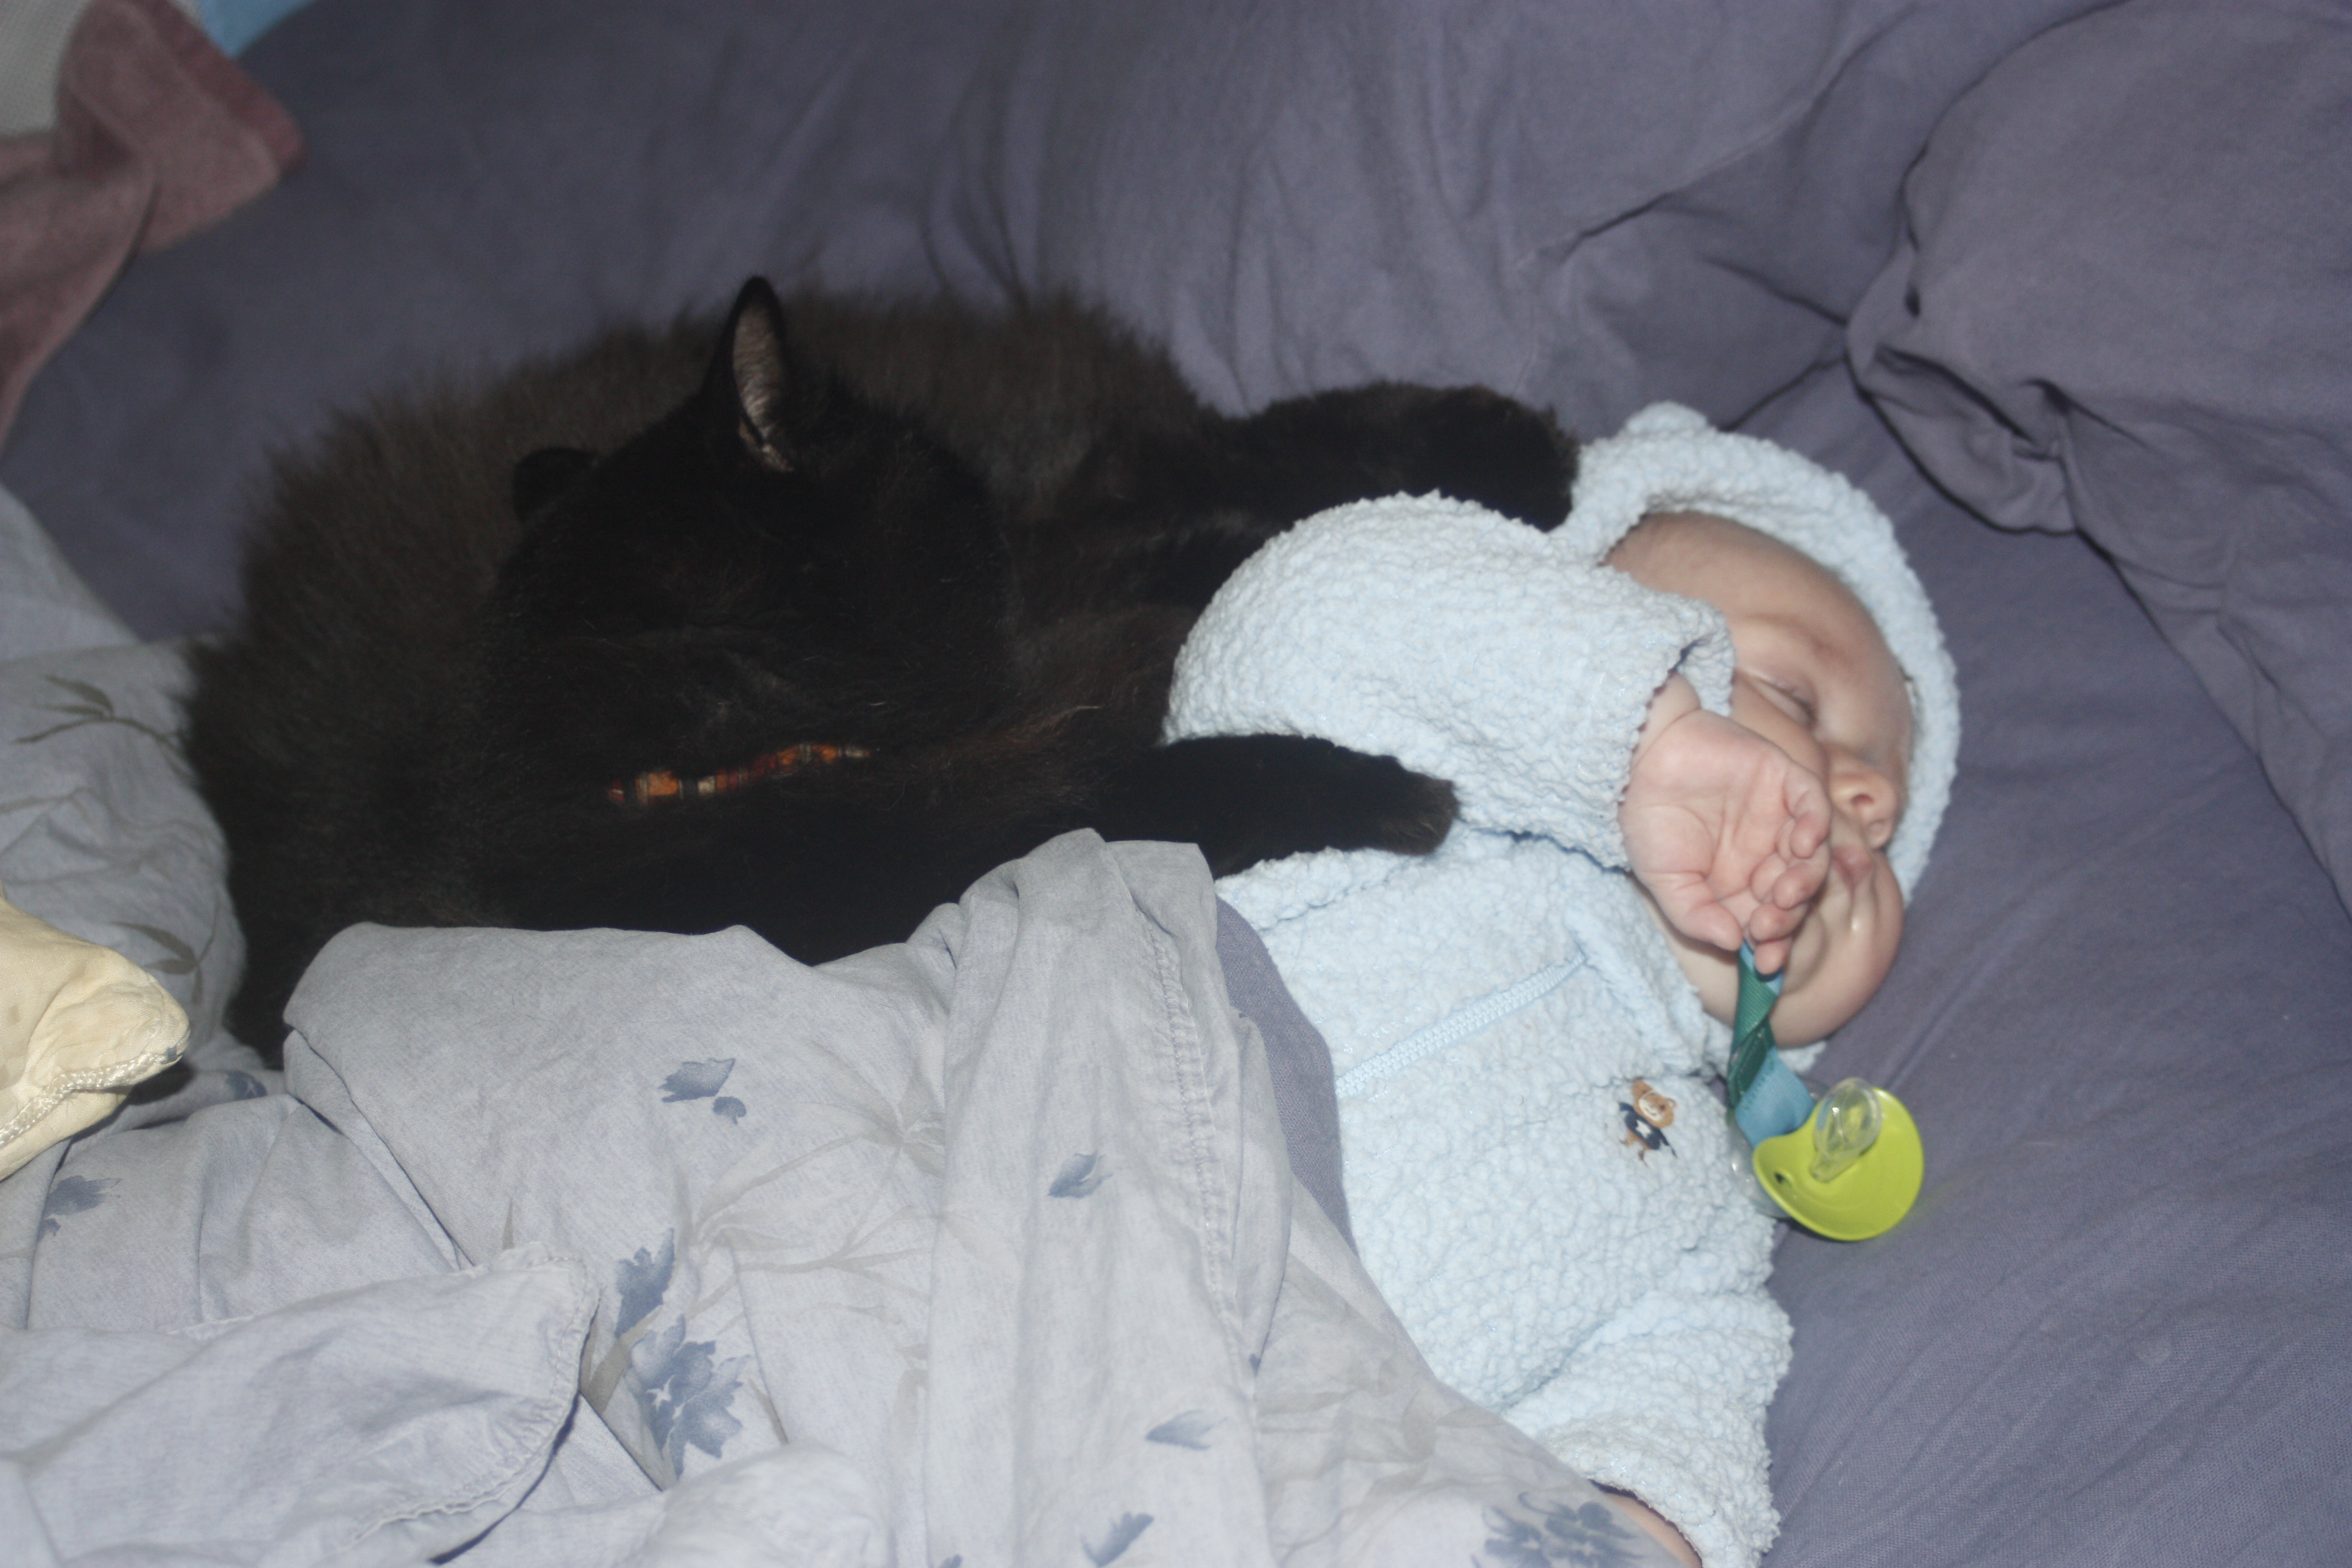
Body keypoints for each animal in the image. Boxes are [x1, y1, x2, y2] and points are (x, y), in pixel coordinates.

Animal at [185, 277, 1576, 1058]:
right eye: (935, 490)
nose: (976, 497)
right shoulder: (980, 836)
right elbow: (1192, 776)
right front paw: (1394, 790)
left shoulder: (1057, 597)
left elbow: (1227, 511)